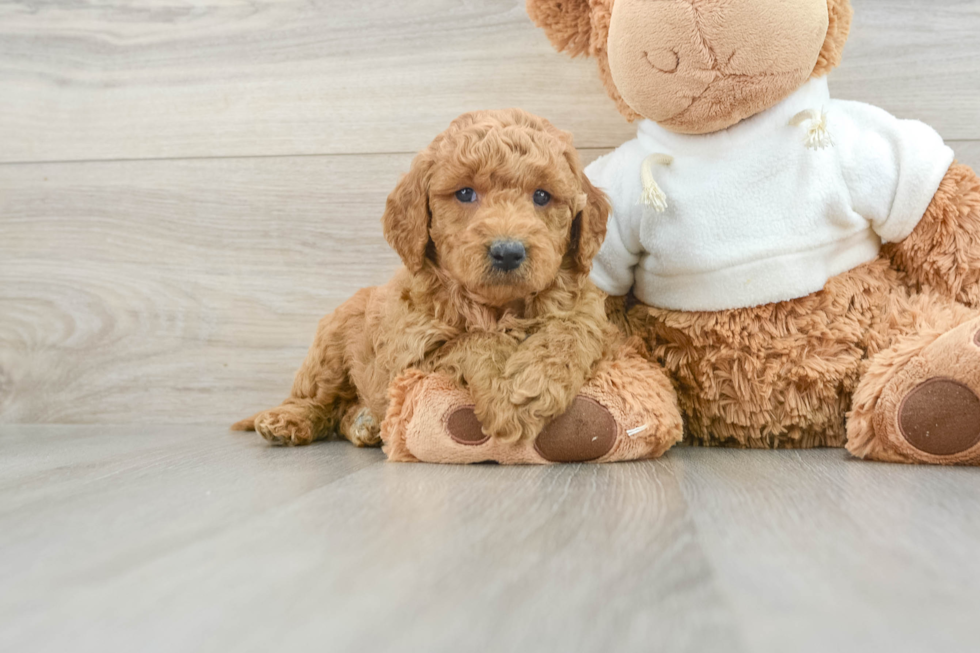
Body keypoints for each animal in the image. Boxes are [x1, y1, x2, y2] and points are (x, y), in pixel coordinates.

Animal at [232, 109, 620, 446]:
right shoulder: (410, 355)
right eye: (465, 193)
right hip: (330, 345)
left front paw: (535, 383)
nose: (508, 252)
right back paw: (288, 420)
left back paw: (364, 423)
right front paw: (504, 393)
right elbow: (473, 341)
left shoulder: (587, 314)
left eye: (542, 196)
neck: (498, 307)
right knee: (315, 397)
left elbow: (567, 332)